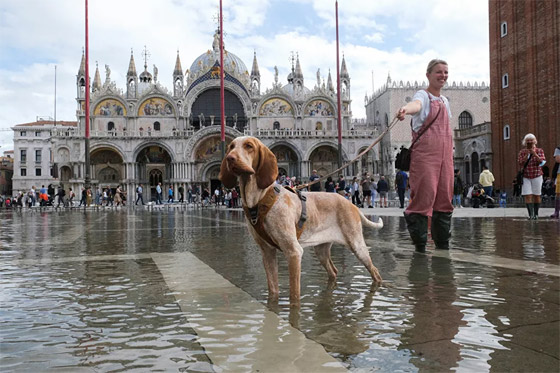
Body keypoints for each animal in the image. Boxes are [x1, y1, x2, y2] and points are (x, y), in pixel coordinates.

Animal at [220, 137, 384, 306]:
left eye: (249, 146)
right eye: (231, 147)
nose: (230, 158)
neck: (259, 200)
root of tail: (351, 204)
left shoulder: (293, 252)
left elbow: (294, 294)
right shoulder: (267, 253)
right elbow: (273, 290)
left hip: (357, 246)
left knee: (375, 272)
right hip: (321, 251)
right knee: (334, 271)